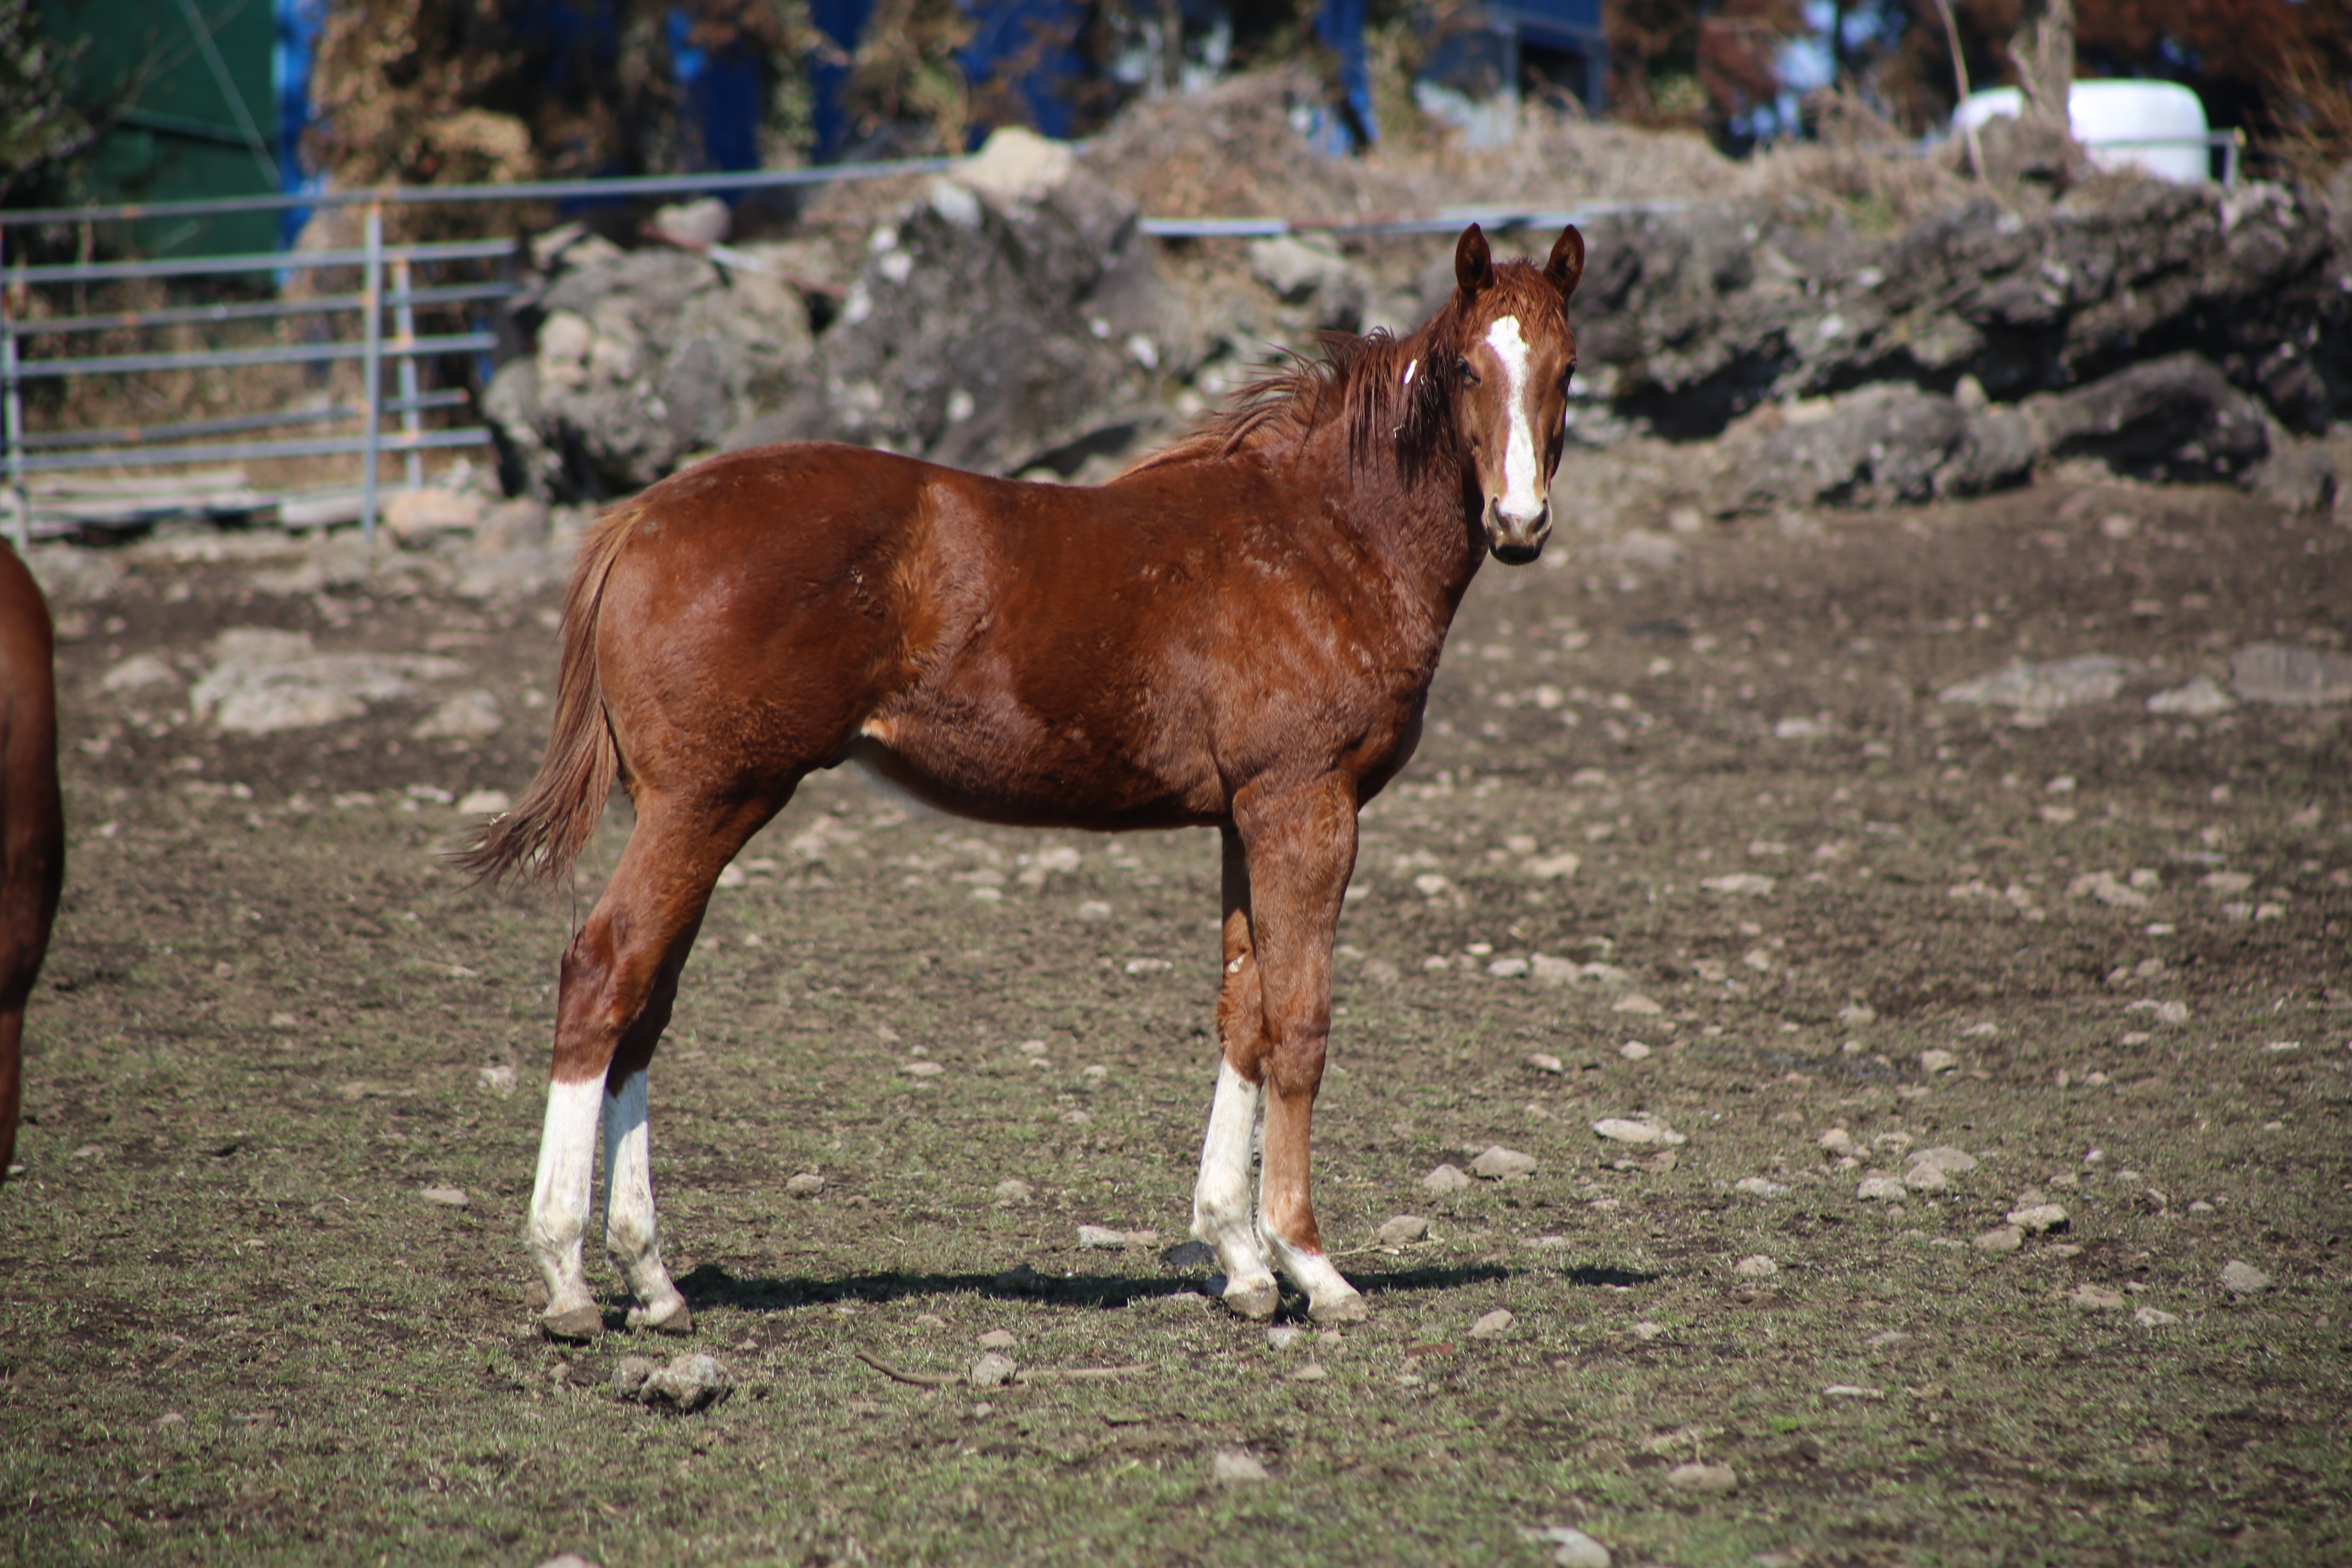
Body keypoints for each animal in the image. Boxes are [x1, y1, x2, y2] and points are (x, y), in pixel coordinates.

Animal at [468, 227, 1590, 1345]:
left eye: (1566, 370)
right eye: (1464, 369)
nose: (1518, 522)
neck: (1322, 538)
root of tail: (642, 516)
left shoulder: (1244, 816)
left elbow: (1244, 1014)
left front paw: (1238, 1259)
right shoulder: (1305, 804)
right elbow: (1301, 1025)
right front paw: (1311, 1264)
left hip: (704, 810)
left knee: (645, 1004)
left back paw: (652, 1279)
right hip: (706, 804)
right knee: (603, 972)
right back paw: (568, 1277)